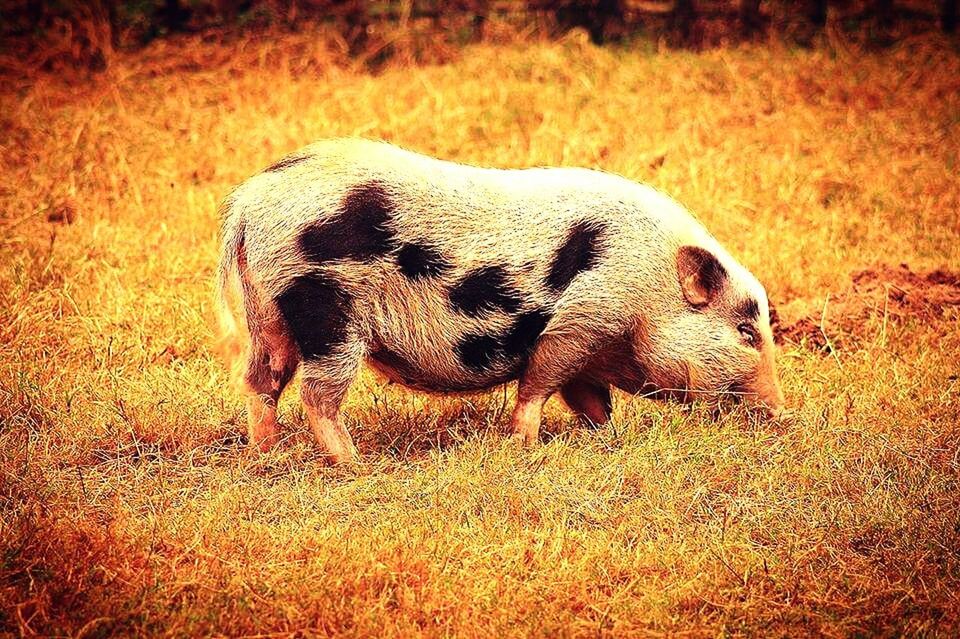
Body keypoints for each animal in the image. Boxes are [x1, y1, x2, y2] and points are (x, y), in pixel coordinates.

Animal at [214, 138, 784, 462]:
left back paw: (267, 454)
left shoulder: (592, 349)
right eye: (747, 331)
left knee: (260, 379)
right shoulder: (583, 319)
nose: (780, 412)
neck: (651, 292)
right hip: (324, 310)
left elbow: (591, 400)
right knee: (316, 394)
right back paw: (358, 465)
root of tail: (248, 202)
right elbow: (539, 383)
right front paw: (526, 447)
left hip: (269, 311)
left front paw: (606, 439)